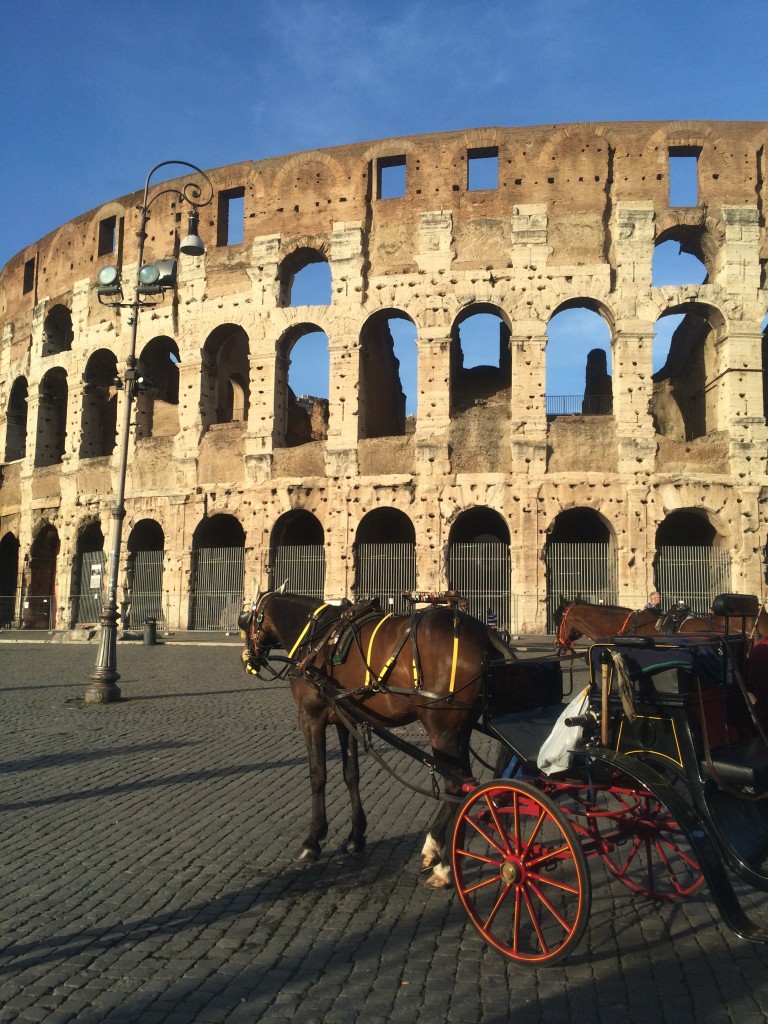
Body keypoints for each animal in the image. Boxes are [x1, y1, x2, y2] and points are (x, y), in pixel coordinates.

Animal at [241, 593, 561, 888]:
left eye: (247, 622)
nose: (249, 662)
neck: (316, 637)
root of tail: (487, 633)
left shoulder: (311, 715)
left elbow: (317, 775)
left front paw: (312, 842)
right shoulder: (346, 715)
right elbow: (351, 774)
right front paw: (355, 837)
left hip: (441, 728)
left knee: (457, 787)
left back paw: (445, 868)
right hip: (461, 729)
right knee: (463, 784)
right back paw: (433, 849)